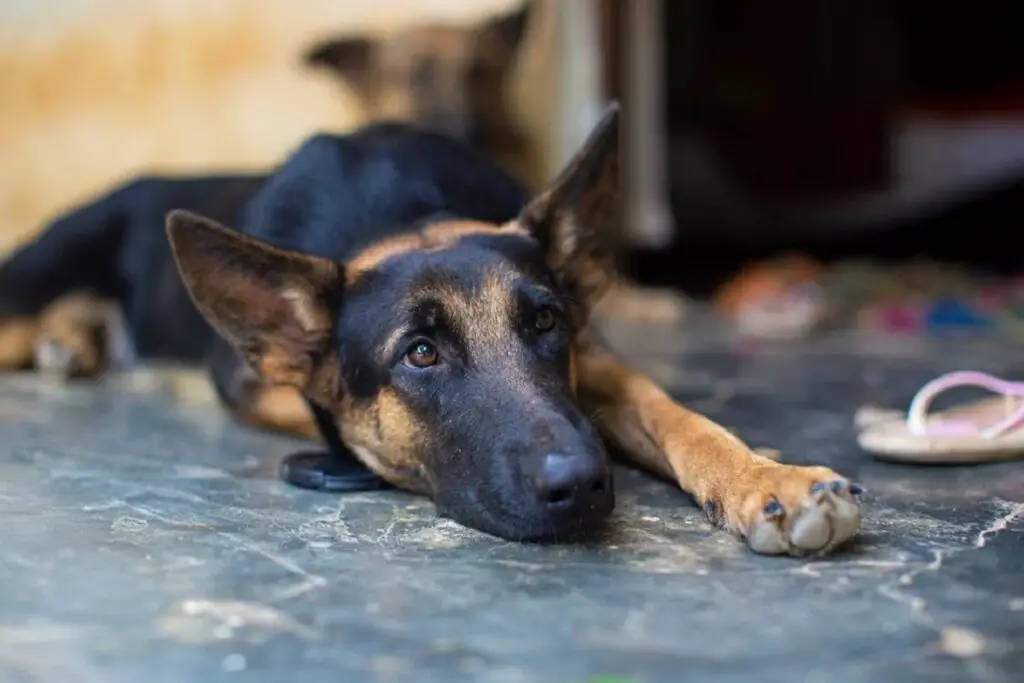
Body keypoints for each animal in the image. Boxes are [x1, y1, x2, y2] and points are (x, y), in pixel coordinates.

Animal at [0, 105, 864, 557]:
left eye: (544, 321)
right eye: (421, 354)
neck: (401, 212)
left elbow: (673, 413)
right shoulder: (246, 379)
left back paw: (75, 340)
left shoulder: (592, 358)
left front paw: (766, 477)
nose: (582, 482)